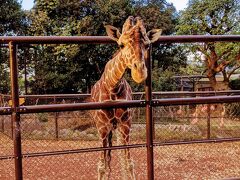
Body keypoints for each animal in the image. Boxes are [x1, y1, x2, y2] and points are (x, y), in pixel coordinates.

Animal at [91, 16, 162, 179]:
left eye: (147, 45)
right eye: (121, 44)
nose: (140, 73)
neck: (112, 86)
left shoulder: (126, 124)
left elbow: (128, 164)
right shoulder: (102, 127)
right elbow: (101, 166)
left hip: (116, 128)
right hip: (106, 129)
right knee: (107, 161)